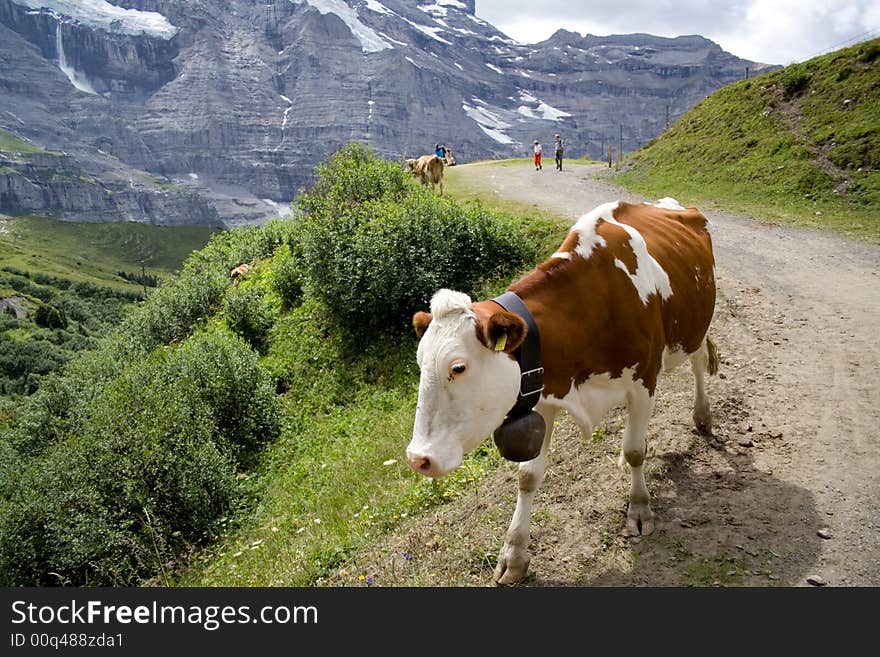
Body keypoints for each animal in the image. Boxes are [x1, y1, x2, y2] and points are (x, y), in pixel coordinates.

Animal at [410, 197, 720, 580]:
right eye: (420, 362)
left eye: (458, 367)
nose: (417, 458)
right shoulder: (539, 391)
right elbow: (528, 475)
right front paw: (514, 555)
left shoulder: (644, 381)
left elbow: (635, 450)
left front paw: (639, 509)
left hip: (695, 330)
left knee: (699, 363)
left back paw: (703, 416)